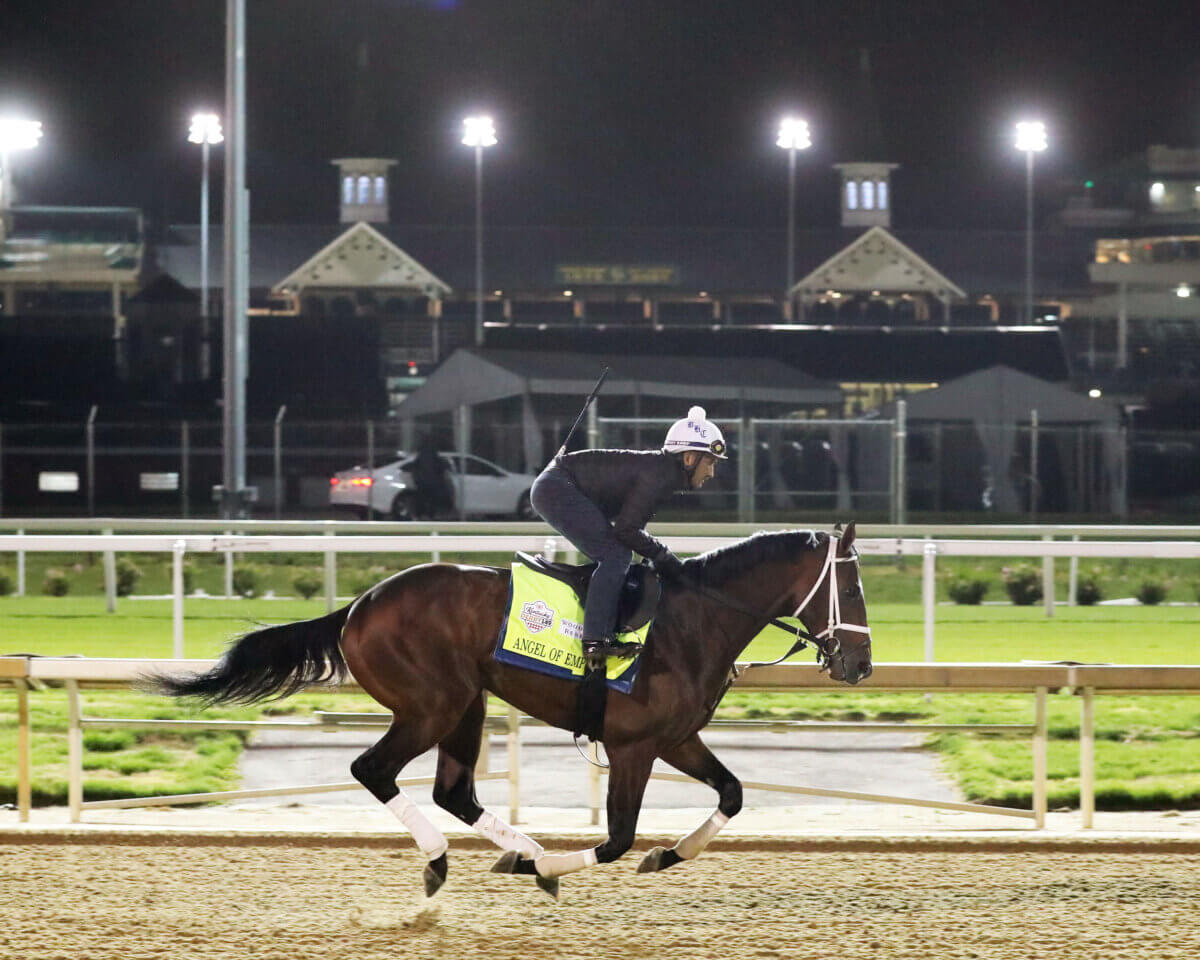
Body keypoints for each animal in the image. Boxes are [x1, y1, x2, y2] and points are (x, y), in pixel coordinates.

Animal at [157, 520, 873, 897]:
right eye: (850, 583)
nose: (860, 664)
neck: (692, 619)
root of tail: (359, 606)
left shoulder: (676, 739)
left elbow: (732, 794)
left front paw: (666, 855)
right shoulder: (634, 746)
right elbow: (617, 839)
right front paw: (556, 866)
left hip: (466, 705)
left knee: (453, 790)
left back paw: (515, 849)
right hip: (432, 704)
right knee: (375, 771)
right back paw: (451, 856)